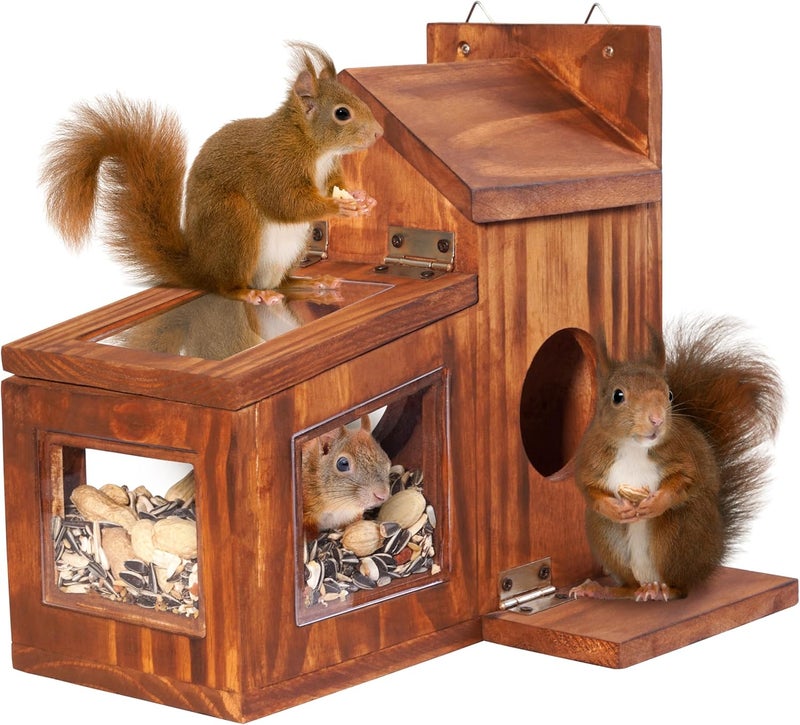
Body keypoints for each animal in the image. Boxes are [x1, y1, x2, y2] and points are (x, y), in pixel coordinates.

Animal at [40, 42, 383, 305]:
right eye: (342, 113)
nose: (379, 133)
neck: (315, 147)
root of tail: (201, 269)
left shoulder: (329, 171)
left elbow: (335, 185)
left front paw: (363, 199)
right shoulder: (274, 165)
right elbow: (285, 203)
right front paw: (339, 207)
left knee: (280, 283)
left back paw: (311, 282)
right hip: (234, 222)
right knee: (226, 286)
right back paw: (249, 294)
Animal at [569, 316, 783, 602]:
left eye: (669, 394)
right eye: (617, 396)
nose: (657, 419)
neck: (635, 447)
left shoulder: (684, 455)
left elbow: (685, 480)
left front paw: (656, 502)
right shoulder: (590, 458)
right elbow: (588, 488)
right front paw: (615, 508)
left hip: (680, 534)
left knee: (681, 587)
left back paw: (662, 591)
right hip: (606, 535)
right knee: (627, 587)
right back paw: (598, 589)